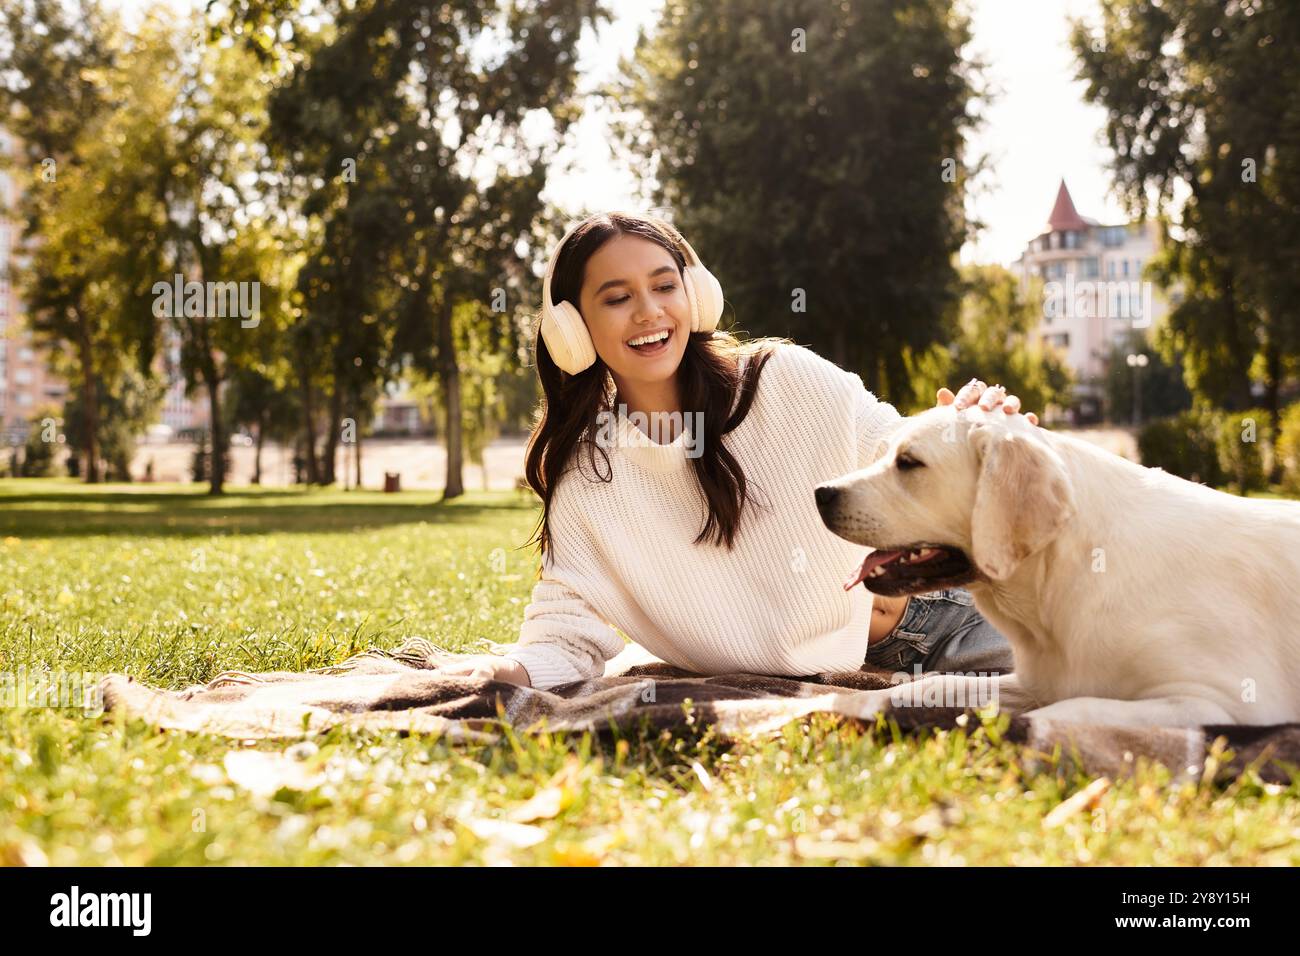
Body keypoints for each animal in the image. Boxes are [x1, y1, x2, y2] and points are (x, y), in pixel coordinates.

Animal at [816, 408, 1294, 728]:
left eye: (909, 462)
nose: (821, 492)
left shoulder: (1211, 703)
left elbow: (1066, 712)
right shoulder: (1033, 680)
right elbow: (930, 686)